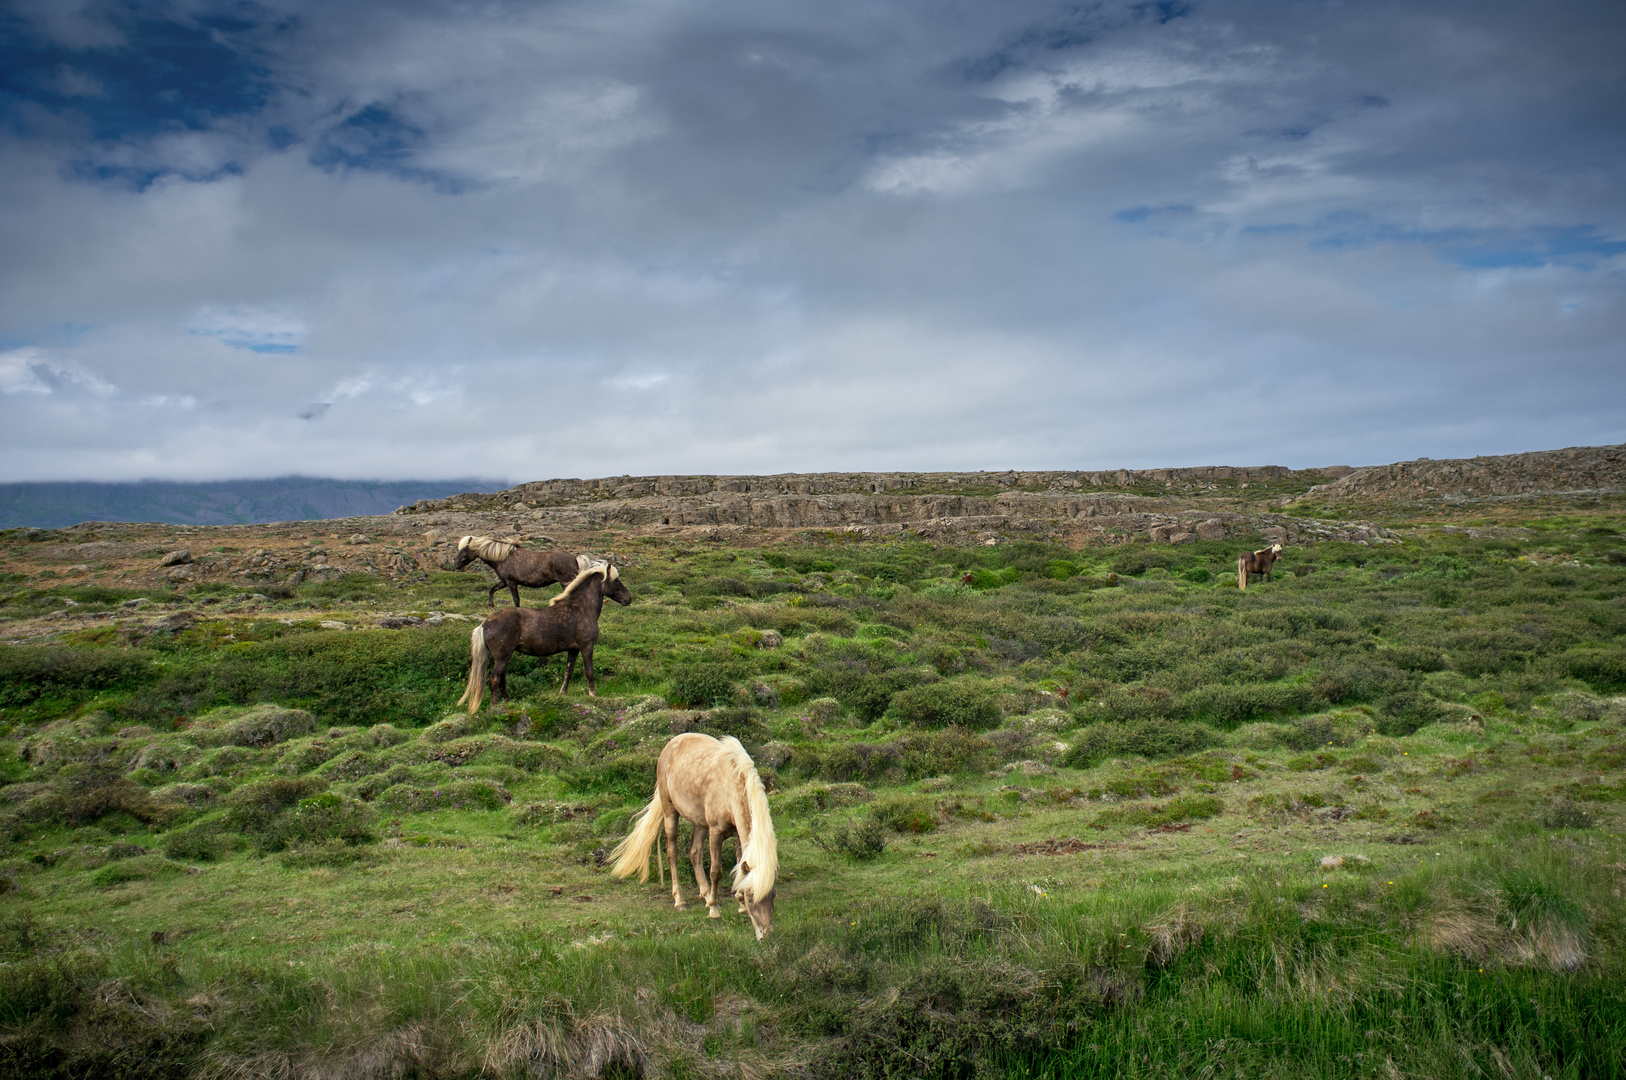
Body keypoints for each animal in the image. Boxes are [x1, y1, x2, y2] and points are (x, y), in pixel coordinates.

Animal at [452, 536, 591, 611]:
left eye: (464, 549)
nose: (456, 564)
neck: (504, 558)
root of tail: (575, 558)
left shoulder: (511, 582)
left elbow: (516, 599)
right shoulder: (504, 582)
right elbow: (492, 589)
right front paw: (491, 605)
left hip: (566, 583)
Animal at [465, 559, 634, 712]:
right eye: (616, 580)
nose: (628, 599)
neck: (581, 608)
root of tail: (484, 624)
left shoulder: (573, 649)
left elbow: (568, 671)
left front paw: (563, 694)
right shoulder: (587, 647)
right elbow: (589, 672)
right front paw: (593, 695)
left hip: (504, 658)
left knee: (502, 680)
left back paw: (508, 702)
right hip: (502, 657)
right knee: (494, 679)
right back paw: (496, 706)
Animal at [611, 735, 783, 936]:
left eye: (773, 895)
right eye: (751, 898)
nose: (766, 933)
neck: (732, 785)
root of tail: (672, 743)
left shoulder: (737, 835)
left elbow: (739, 867)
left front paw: (737, 904)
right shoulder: (716, 832)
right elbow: (716, 871)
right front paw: (715, 910)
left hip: (699, 822)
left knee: (694, 852)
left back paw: (706, 894)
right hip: (670, 812)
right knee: (672, 852)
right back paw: (681, 901)